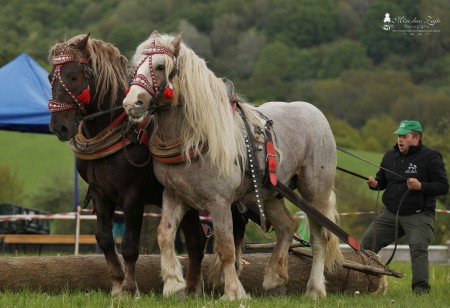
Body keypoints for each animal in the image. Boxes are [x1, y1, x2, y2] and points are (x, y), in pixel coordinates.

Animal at [46, 34, 210, 296]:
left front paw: (130, 289)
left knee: (198, 240)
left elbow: (130, 246)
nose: (58, 127)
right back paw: (192, 289)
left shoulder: (133, 197)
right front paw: (116, 283)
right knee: (196, 240)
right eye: (51, 77)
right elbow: (104, 238)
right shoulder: (100, 194)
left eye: (73, 77)